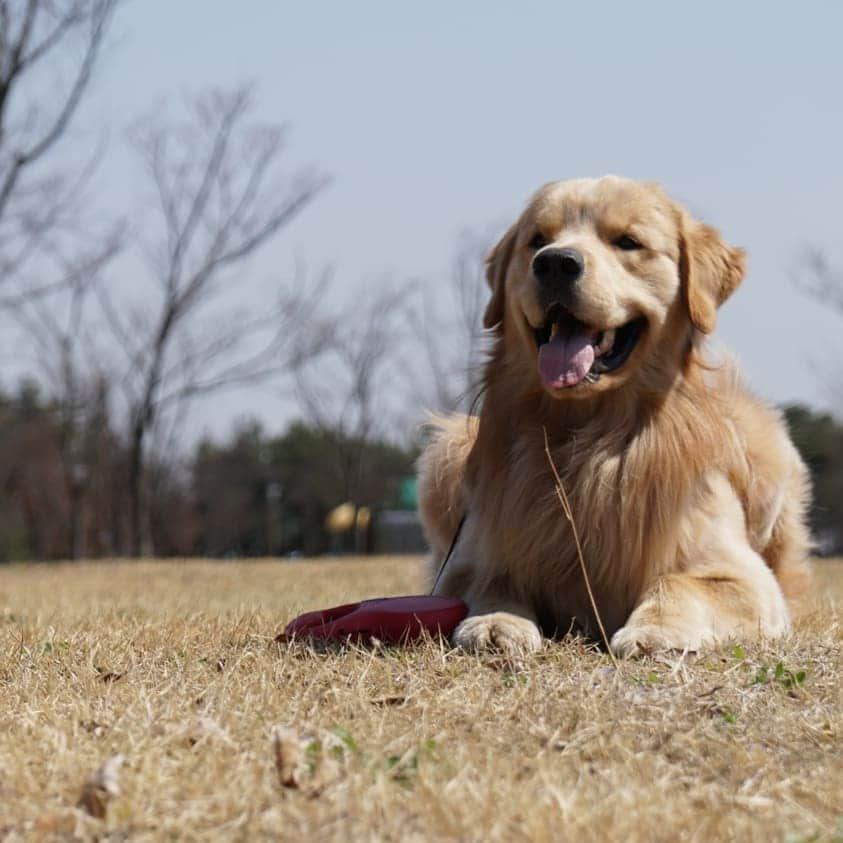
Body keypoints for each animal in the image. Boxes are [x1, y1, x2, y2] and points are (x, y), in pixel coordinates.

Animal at [418, 176, 816, 660]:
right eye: (537, 240)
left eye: (628, 241)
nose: (554, 263)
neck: (589, 434)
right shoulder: (466, 562)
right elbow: (493, 578)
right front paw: (494, 622)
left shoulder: (743, 577)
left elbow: (679, 582)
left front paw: (657, 630)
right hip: (446, 451)